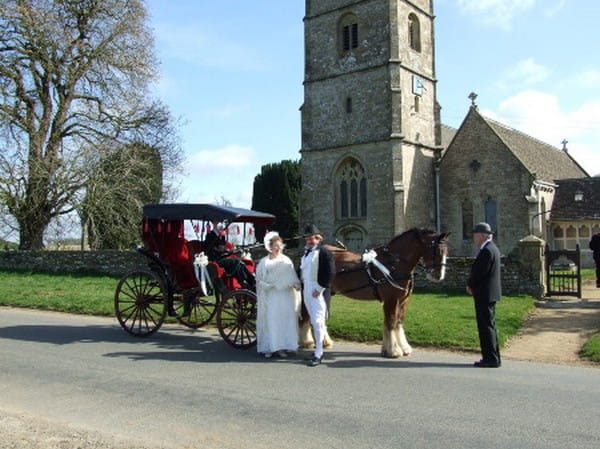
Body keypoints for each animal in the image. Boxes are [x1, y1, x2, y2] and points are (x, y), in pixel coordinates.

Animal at [308, 228, 448, 356]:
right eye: (436, 250)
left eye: (446, 251)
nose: (438, 276)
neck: (394, 264)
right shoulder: (391, 300)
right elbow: (391, 322)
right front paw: (393, 351)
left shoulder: (403, 300)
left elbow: (398, 322)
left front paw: (401, 348)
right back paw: (311, 342)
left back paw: (322, 342)